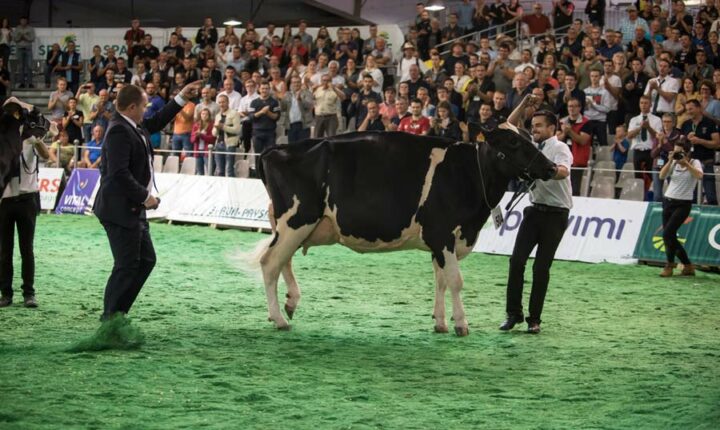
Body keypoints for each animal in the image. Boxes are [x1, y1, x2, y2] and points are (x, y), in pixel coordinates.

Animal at [256, 126, 556, 338]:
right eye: (513, 142)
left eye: (530, 136)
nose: (552, 167)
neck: (470, 173)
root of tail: (278, 148)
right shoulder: (442, 234)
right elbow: (455, 281)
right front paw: (461, 324)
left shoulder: (439, 243)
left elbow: (441, 281)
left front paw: (440, 323)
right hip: (297, 219)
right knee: (270, 262)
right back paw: (279, 319)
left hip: (295, 226)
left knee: (283, 261)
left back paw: (289, 305)